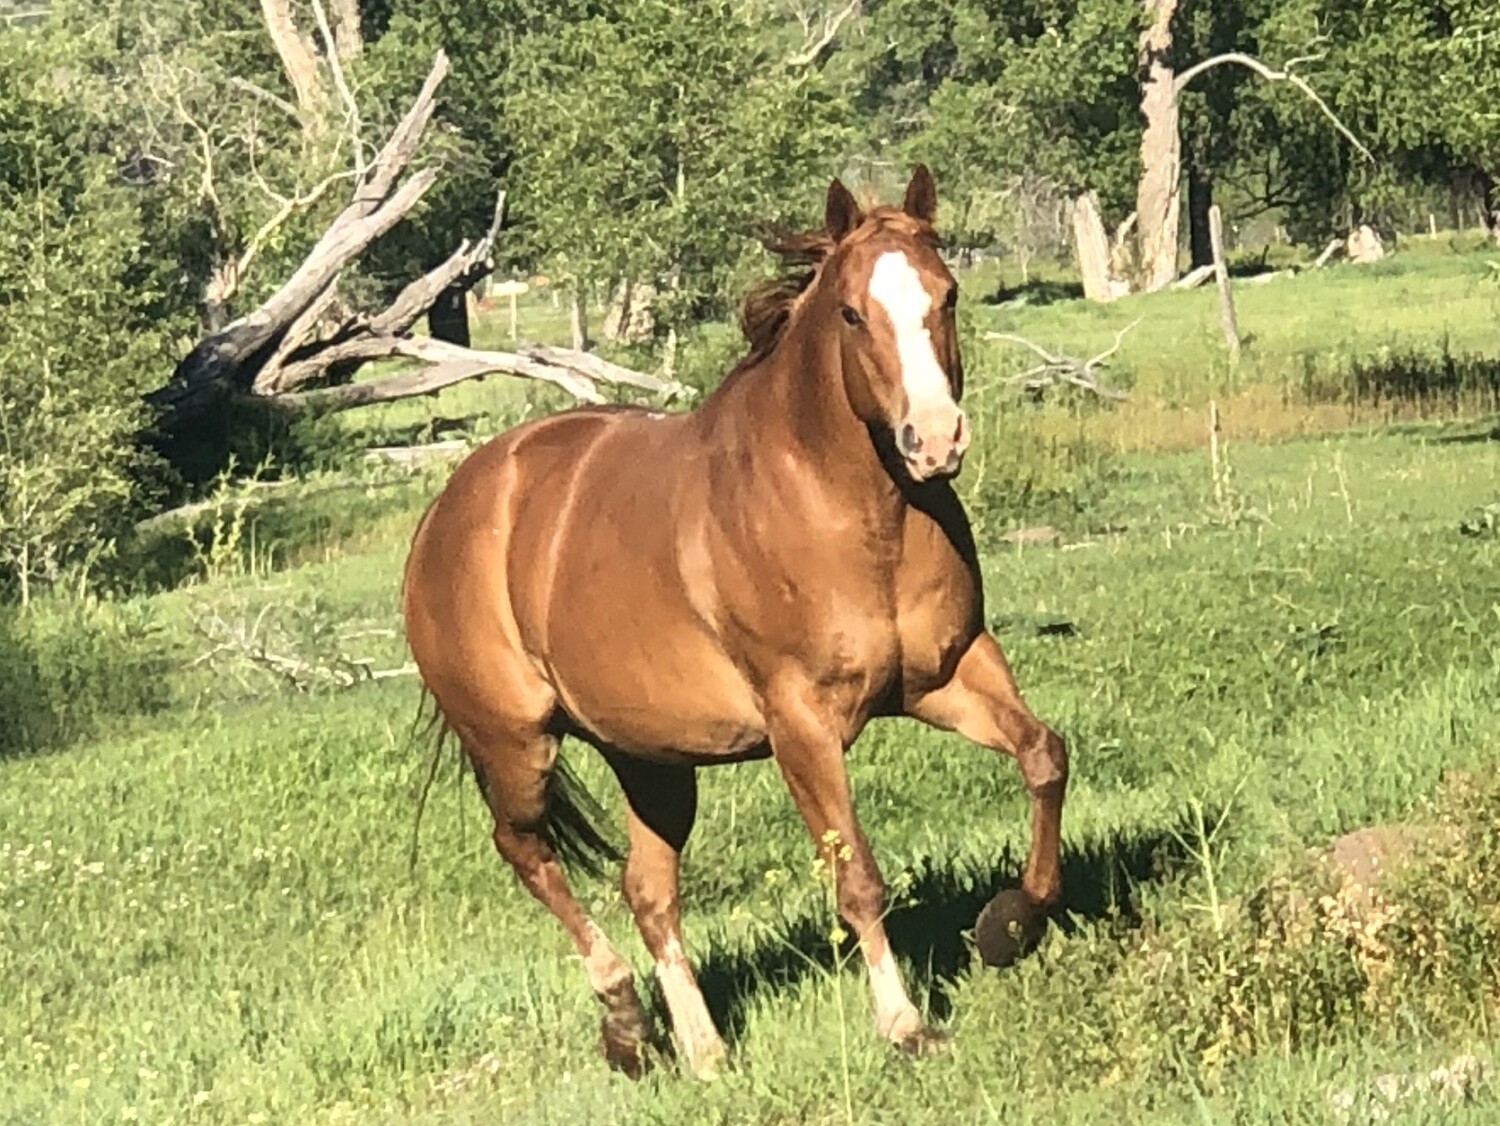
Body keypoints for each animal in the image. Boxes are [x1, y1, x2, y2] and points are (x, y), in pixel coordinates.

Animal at [401, 165, 1068, 1079]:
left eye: (948, 295)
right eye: (852, 312)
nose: (933, 441)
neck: (849, 513)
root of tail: (450, 510)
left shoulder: (949, 672)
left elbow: (1043, 756)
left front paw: (1009, 924)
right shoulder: (801, 724)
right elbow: (856, 875)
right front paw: (905, 1025)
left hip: (650, 760)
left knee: (647, 888)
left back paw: (703, 1049)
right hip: (516, 744)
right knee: (528, 853)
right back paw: (625, 1019)